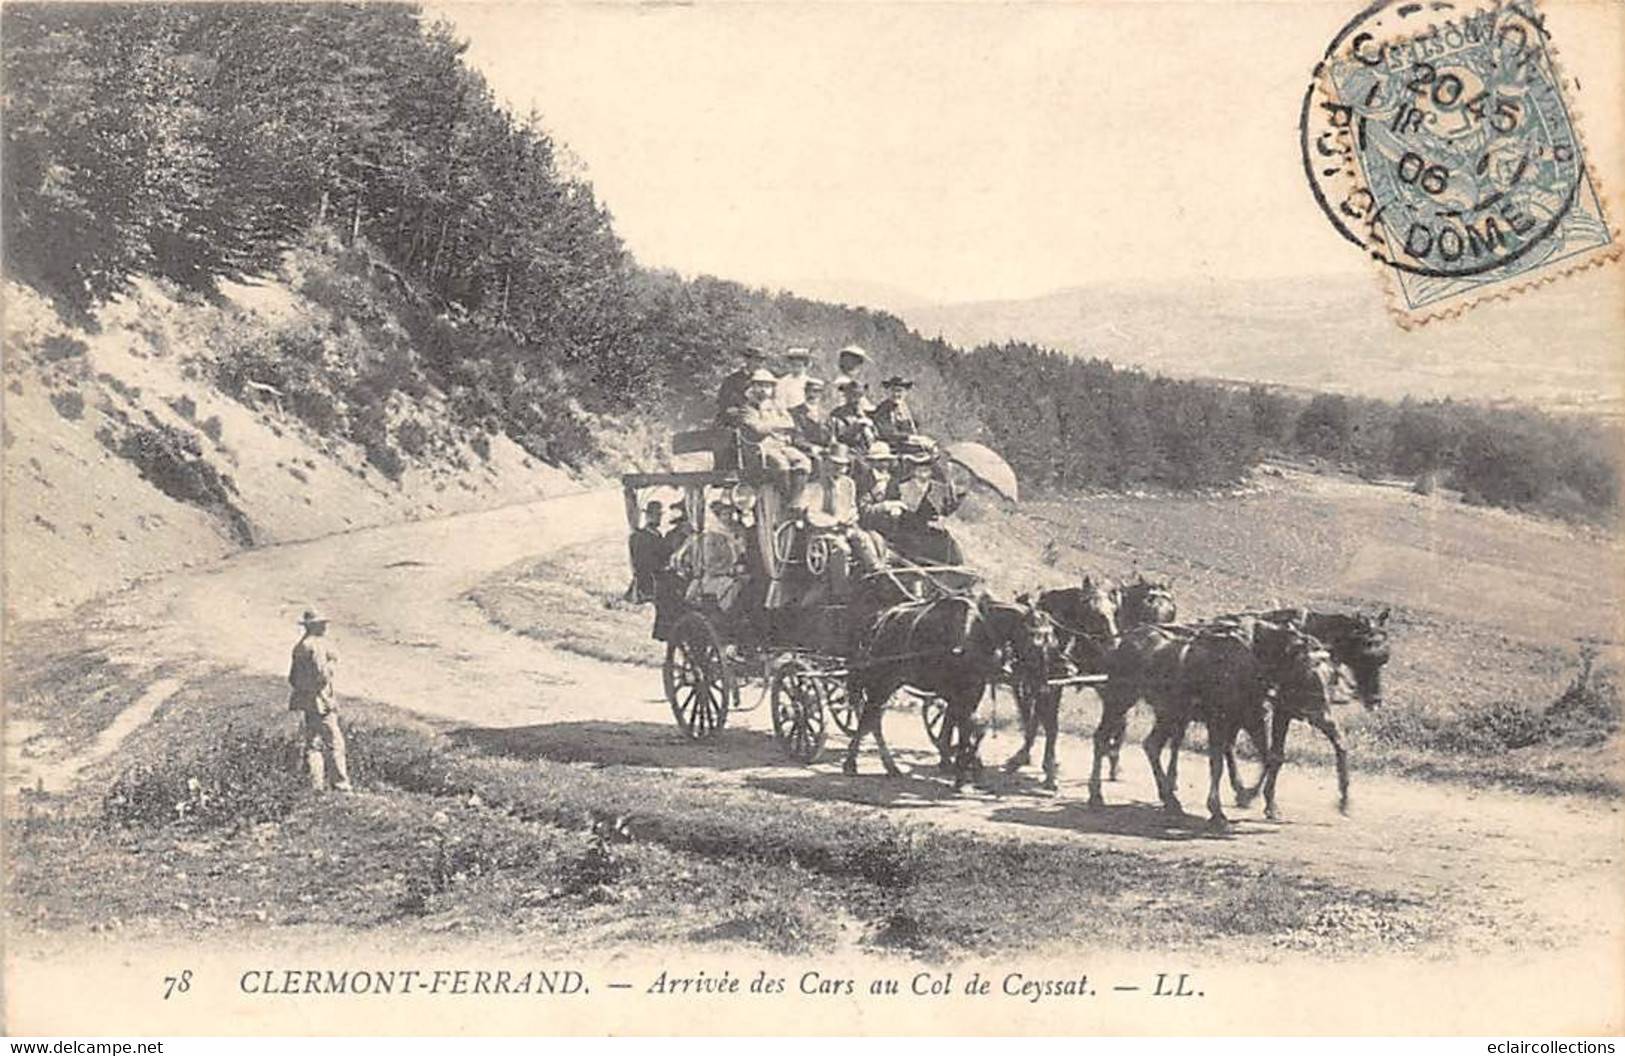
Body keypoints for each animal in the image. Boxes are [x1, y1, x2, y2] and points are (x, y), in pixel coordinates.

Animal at [845, 588, 1059, 786]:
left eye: (1052, 642)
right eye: (1035, 641)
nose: (1044, 687)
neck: (978, 629)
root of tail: (881, 622)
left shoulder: (974, 689)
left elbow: (969, 727)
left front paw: (965, 767)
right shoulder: (958, 690)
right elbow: (968, 727)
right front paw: (962, 771)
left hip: (892, 682)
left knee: (872, 718)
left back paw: (887, 766)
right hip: (883, 681)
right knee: (868, 718)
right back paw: (857, 763)